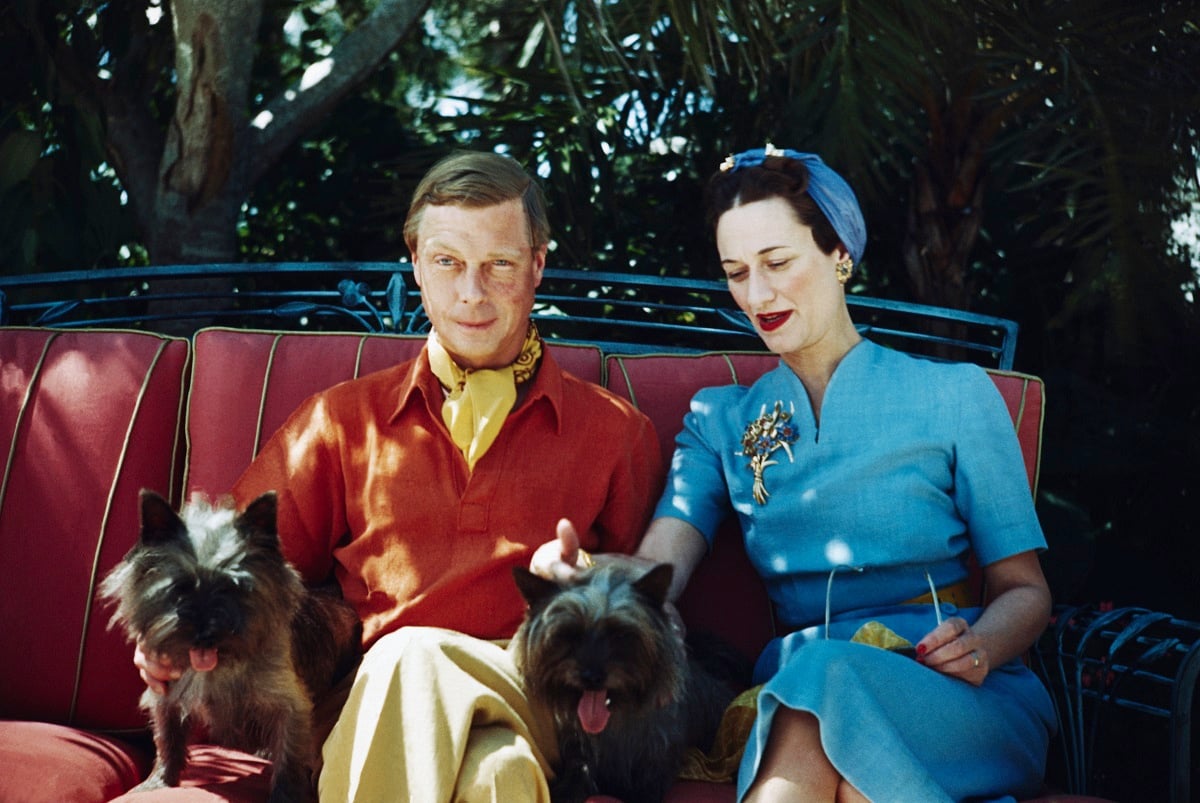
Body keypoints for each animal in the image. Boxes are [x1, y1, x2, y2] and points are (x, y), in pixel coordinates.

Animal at [99, 492, 357, 796]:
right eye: (179, 589)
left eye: (233, 588)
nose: (205, 633)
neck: (220, 666)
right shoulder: (165, 696)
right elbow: (168, 740)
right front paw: (159, 782)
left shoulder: (291, 706)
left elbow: (289, 756)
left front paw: (286, 794)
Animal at [511, 561, 744, 796]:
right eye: (569, 634)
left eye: (620, 634)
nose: (591, 677)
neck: (613, 720)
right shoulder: (578, 748)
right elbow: (579, 769)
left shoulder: (655, 762)